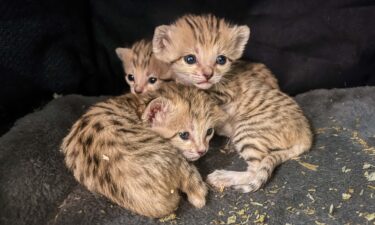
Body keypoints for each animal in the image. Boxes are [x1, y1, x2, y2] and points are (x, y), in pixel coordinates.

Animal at [61, 83, 226, 217]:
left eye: (209, 132)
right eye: (184, 135)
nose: (202, 151)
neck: (137, 104)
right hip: (175, 156)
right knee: (197, 190)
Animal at [153, 14, 314, 193]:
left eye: (221, 60)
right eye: (190, 59)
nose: (208, 74)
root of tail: (306, 134)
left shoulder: (221, 95)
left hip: (247, 130)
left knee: (255, 170)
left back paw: (223, 176)